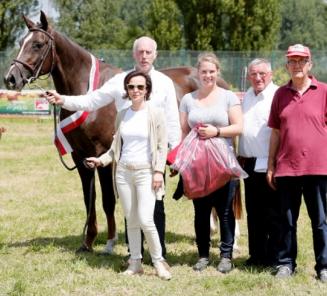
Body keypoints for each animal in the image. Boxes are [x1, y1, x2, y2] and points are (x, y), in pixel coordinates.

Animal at [3, 11, 231, 252]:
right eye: (21, 42)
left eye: (37, 44)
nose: (11, 78)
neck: (86, 90)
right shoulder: (81, 157)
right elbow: (89, 199)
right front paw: (88, 242)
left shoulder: (103, 154)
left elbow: (108, 200)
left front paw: (110, 242)